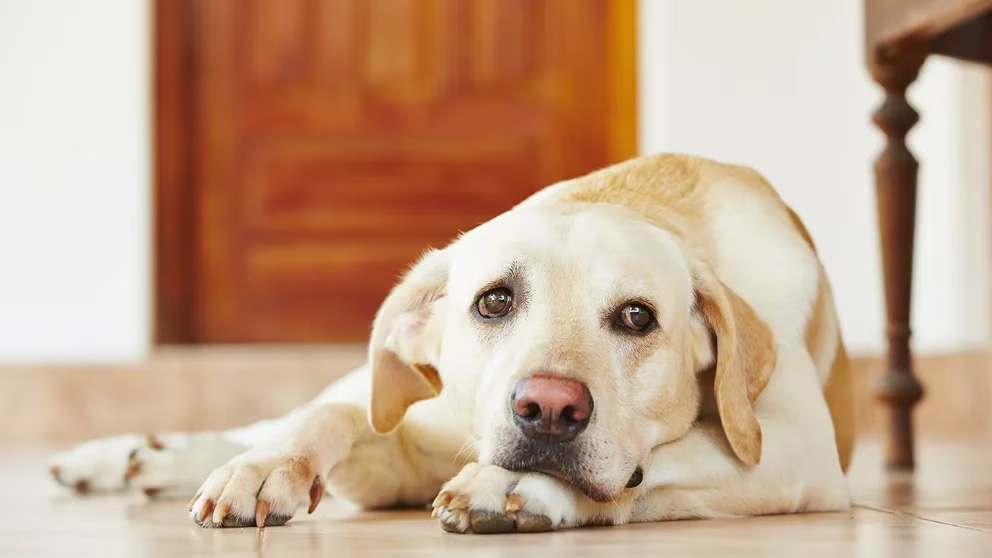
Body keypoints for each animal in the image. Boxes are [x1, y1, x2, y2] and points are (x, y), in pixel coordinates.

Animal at [48, 153, 852, 532]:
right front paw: (265, 470)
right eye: (494, 300)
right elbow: (324, 420)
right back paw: (135, 457)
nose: (549, 409)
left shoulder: (797, 449)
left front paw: (518, 486)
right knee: (295, 413)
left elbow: (660, 462)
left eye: (636, 318)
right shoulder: (391, 433)